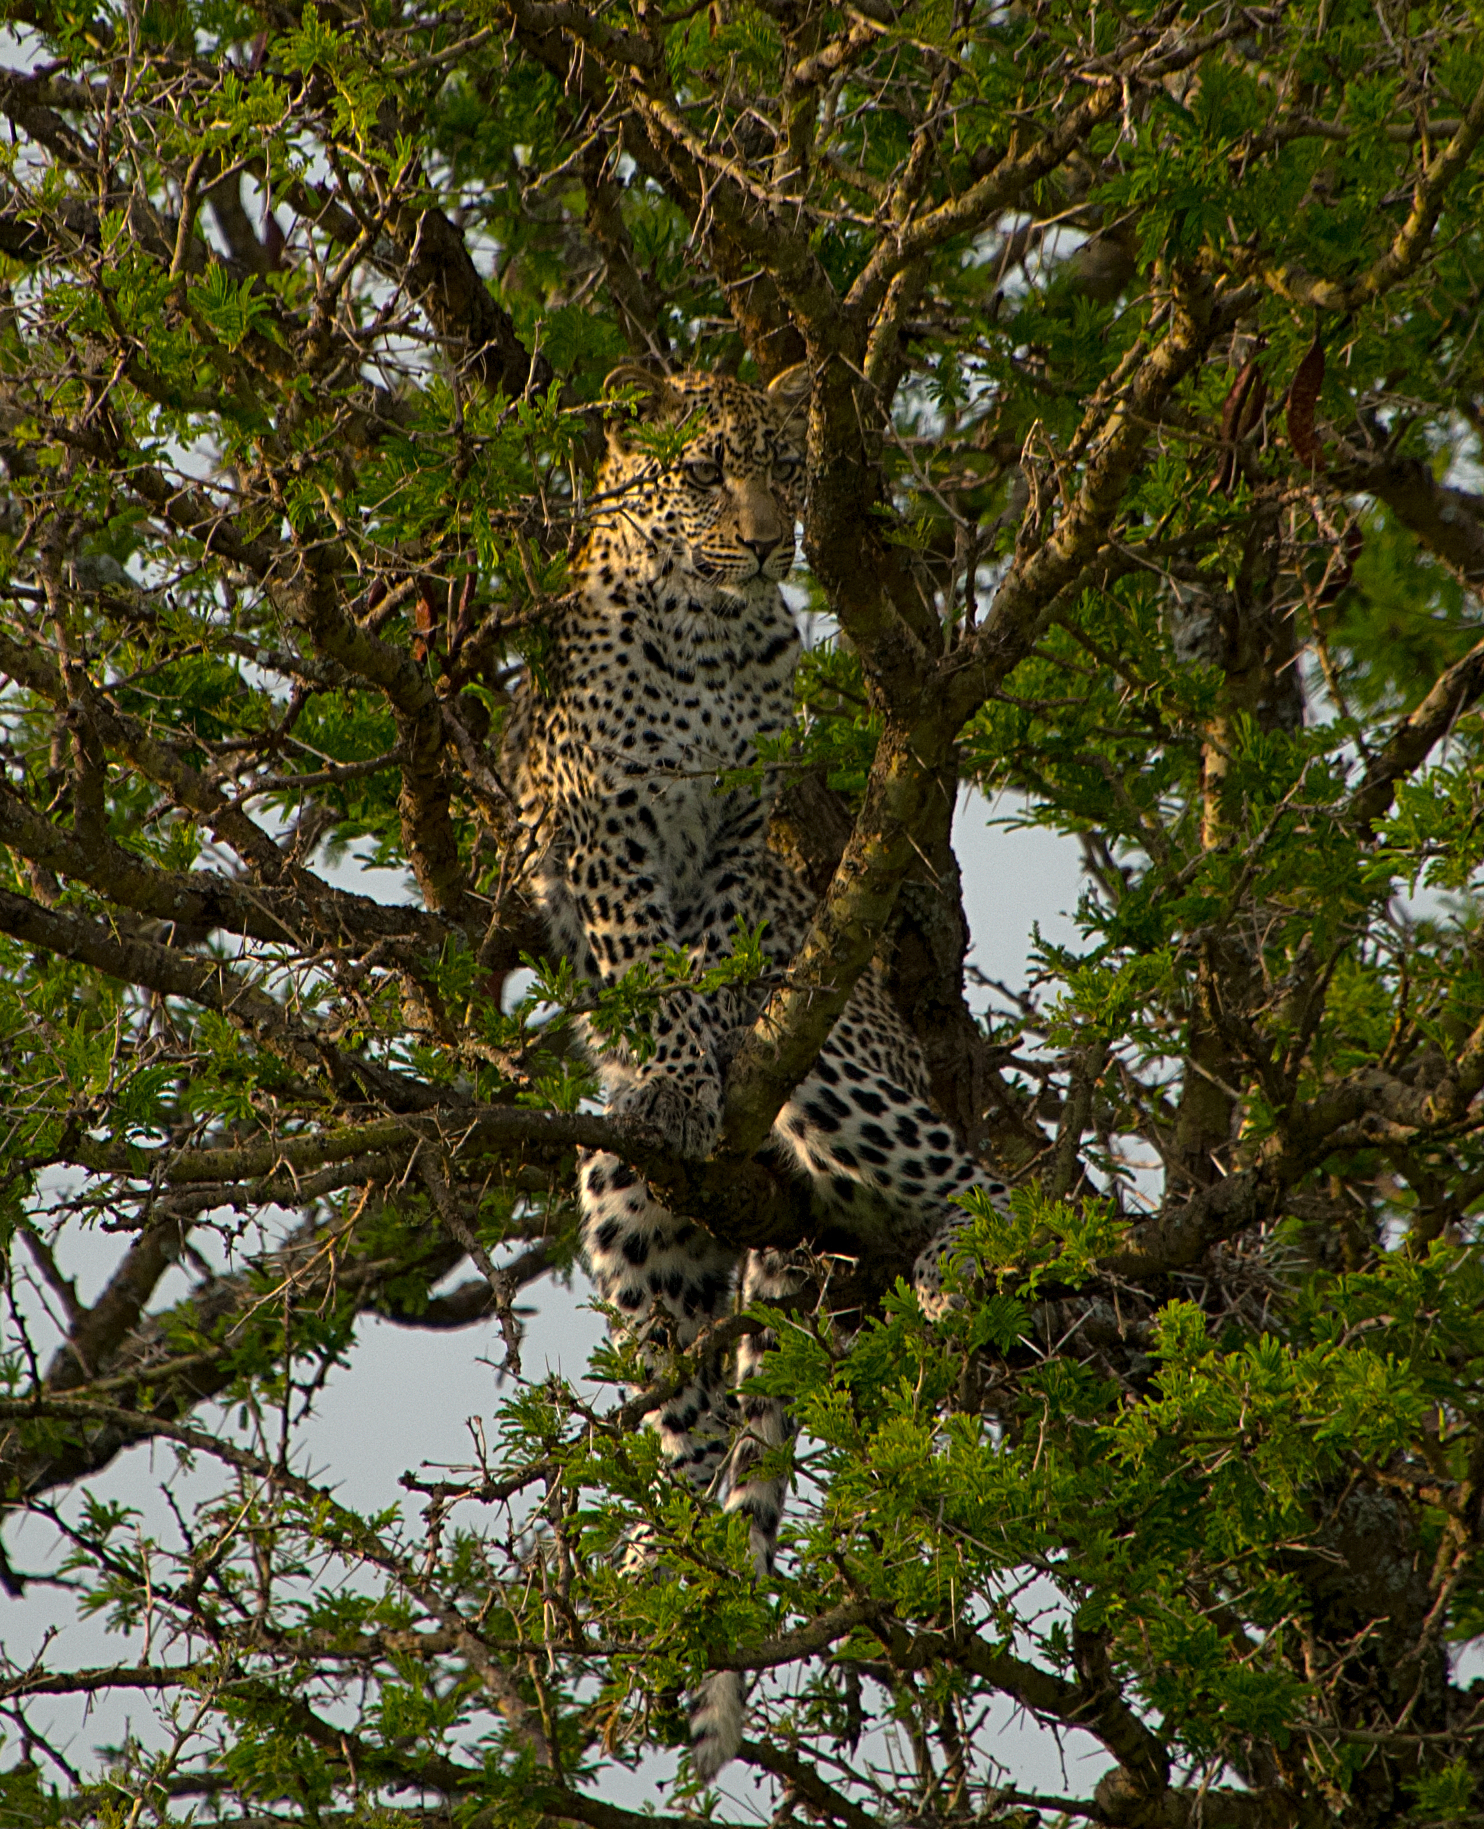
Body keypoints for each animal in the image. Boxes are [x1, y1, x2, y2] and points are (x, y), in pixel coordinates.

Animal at [504, 365, 1010, 1781]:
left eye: (788, 467)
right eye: (703, 471)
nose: (774, 538)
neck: (712, 630)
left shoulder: (736, 826)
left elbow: (717, 947)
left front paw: (715, 1040)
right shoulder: (599, 824)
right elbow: (638, 953)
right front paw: (676, 1071)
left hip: (841, 1077)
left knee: (973, 1176)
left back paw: (959, 1258)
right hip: (627, 1205)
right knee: (690, 1421)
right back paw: (653, 1579)